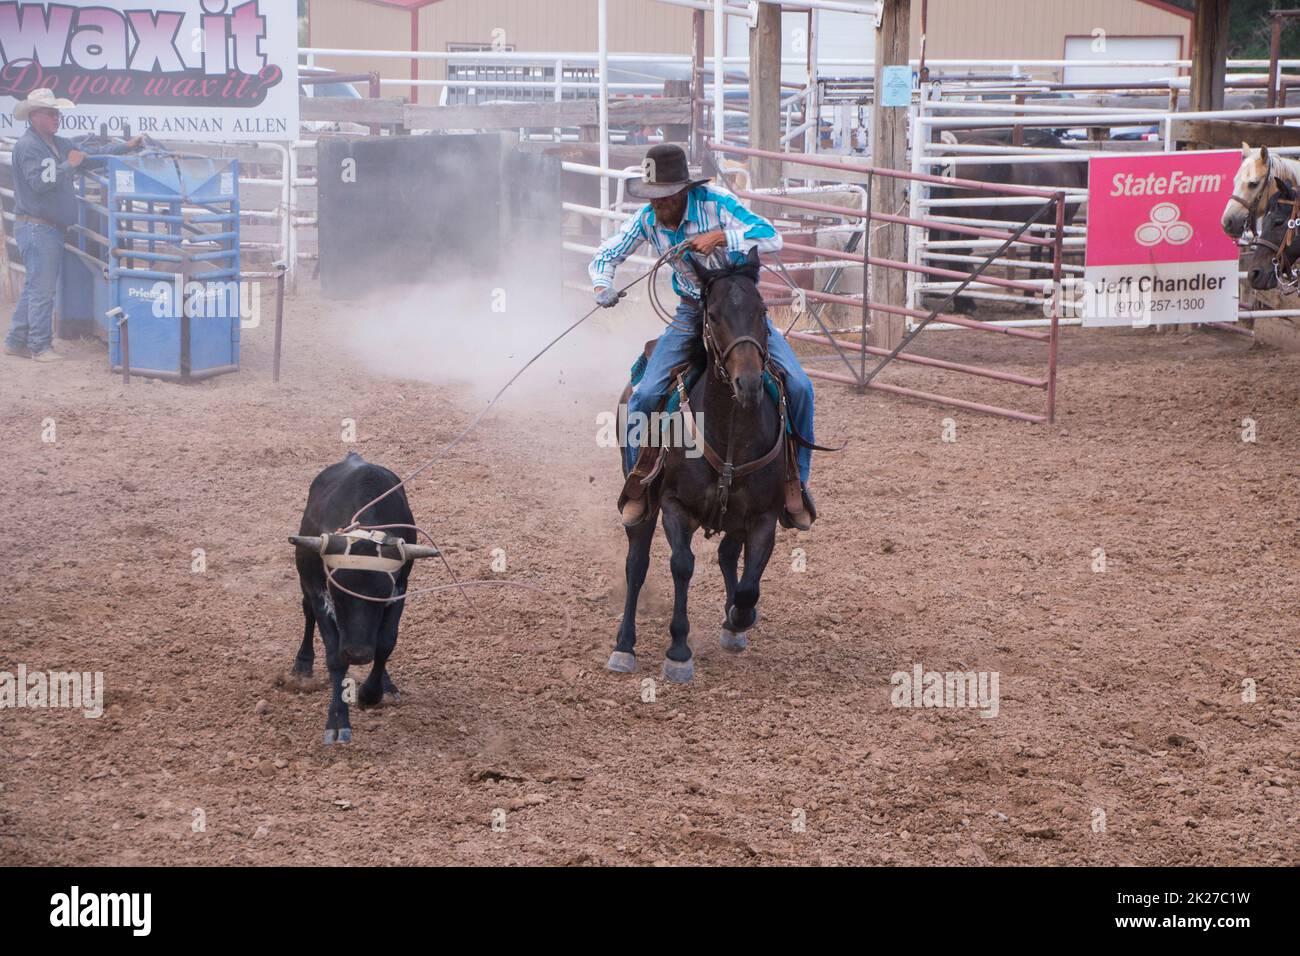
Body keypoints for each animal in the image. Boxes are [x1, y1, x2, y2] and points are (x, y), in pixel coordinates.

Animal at [605, 247, 780, 681]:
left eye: (762, 310)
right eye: (713, 315)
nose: (748, 384)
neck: (730, 434)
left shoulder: (763, 515)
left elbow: (750, 583)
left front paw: (737, 619)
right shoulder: (674, 505)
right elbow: (682, 565)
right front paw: (679, 651)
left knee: (728, 554)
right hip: (642, 500)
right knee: (637, 564)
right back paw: (624, 646)